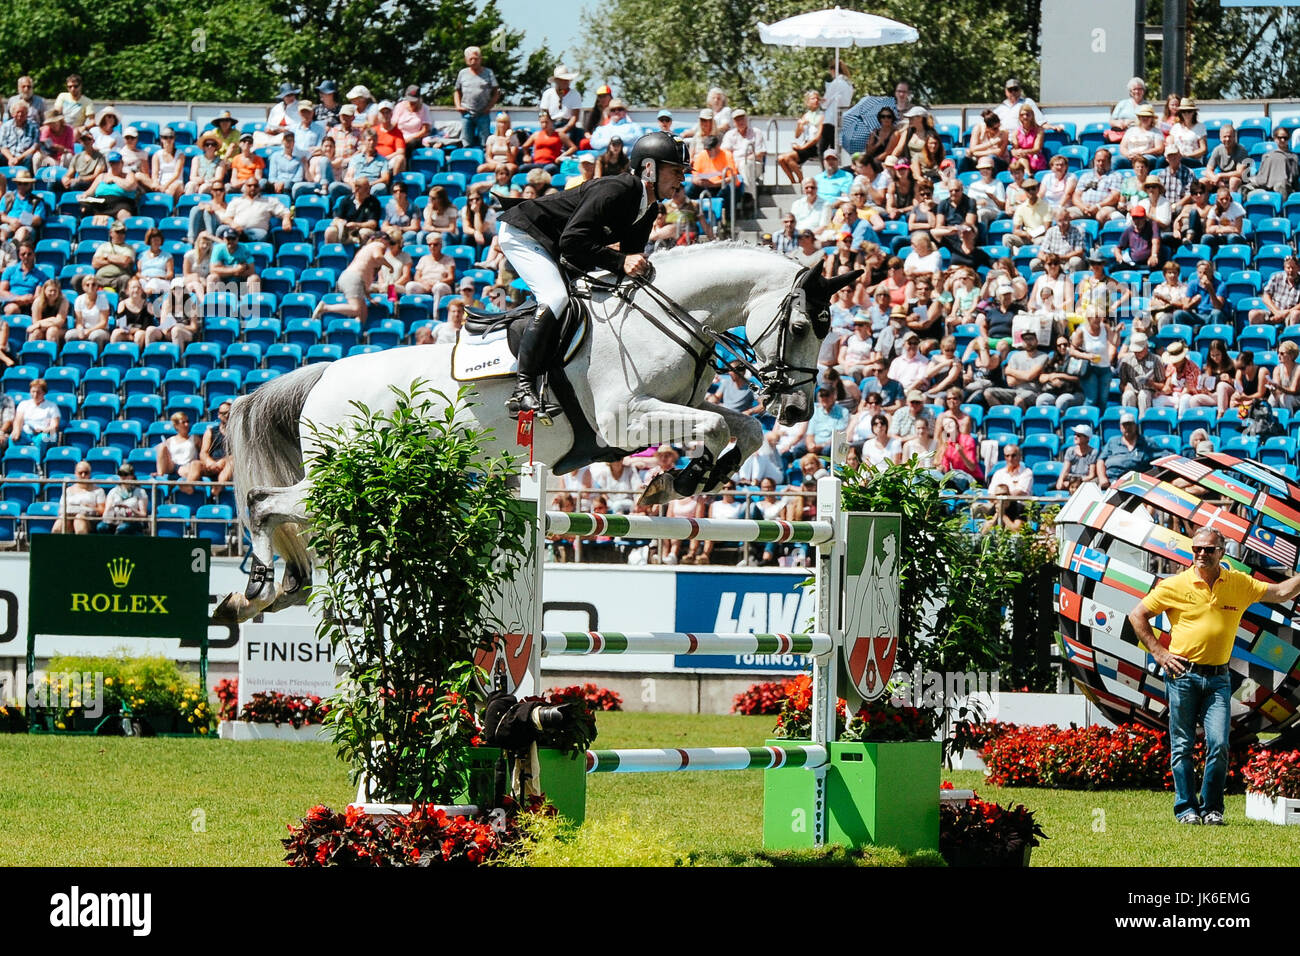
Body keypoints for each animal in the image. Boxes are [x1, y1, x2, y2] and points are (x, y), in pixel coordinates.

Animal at [214, 243, 863, 624]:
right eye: (803, 325)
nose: (799, 409)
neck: (663, 318)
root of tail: (321, 375)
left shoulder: (665, 409)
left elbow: (742, 426)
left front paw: (690, 479)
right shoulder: (624, 418)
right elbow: (715, 424)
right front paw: (679, 480)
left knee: (279, 513)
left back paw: (280, 588)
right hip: (347, 472)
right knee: (263, 502)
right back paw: (256, 590)